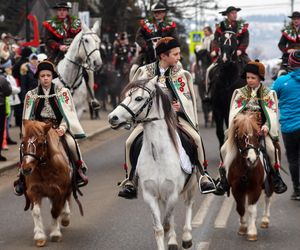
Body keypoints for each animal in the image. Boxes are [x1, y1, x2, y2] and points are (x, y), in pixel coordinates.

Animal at [109, 76, 198, 250]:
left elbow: (167, 223)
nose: (112, 117)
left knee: (188, 204)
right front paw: (168, 241)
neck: (157, 154)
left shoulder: (172, 193)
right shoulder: (150, 195)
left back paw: (186, 237)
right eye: (127, 95)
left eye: (138, 98)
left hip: (190, 186)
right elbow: (159, 228)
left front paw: (179, 238)